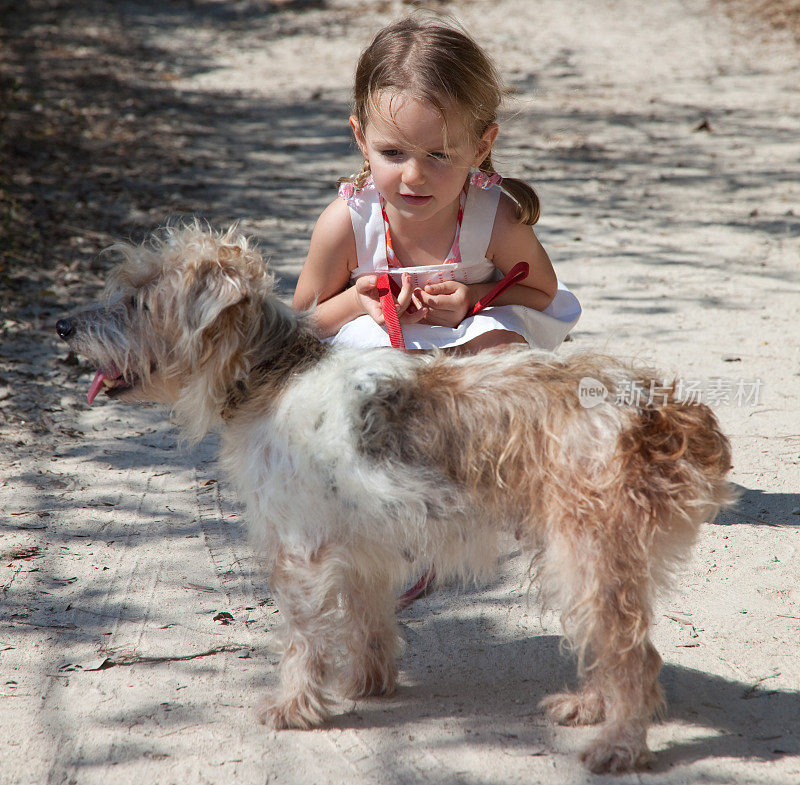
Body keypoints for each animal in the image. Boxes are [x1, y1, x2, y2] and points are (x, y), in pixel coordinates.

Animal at [56, 225, 732, 772]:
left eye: (139, 299)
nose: (62, 325)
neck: (272, 376)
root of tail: (663, 408)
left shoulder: (300, 552)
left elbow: (302, 637)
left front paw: (295, 707)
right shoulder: (359, 545)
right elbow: (368, 618)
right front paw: (367, 684)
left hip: (590, 552)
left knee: (635, 657)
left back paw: (619, 745)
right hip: (582, 559)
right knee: (606, 642)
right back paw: (589, 706)